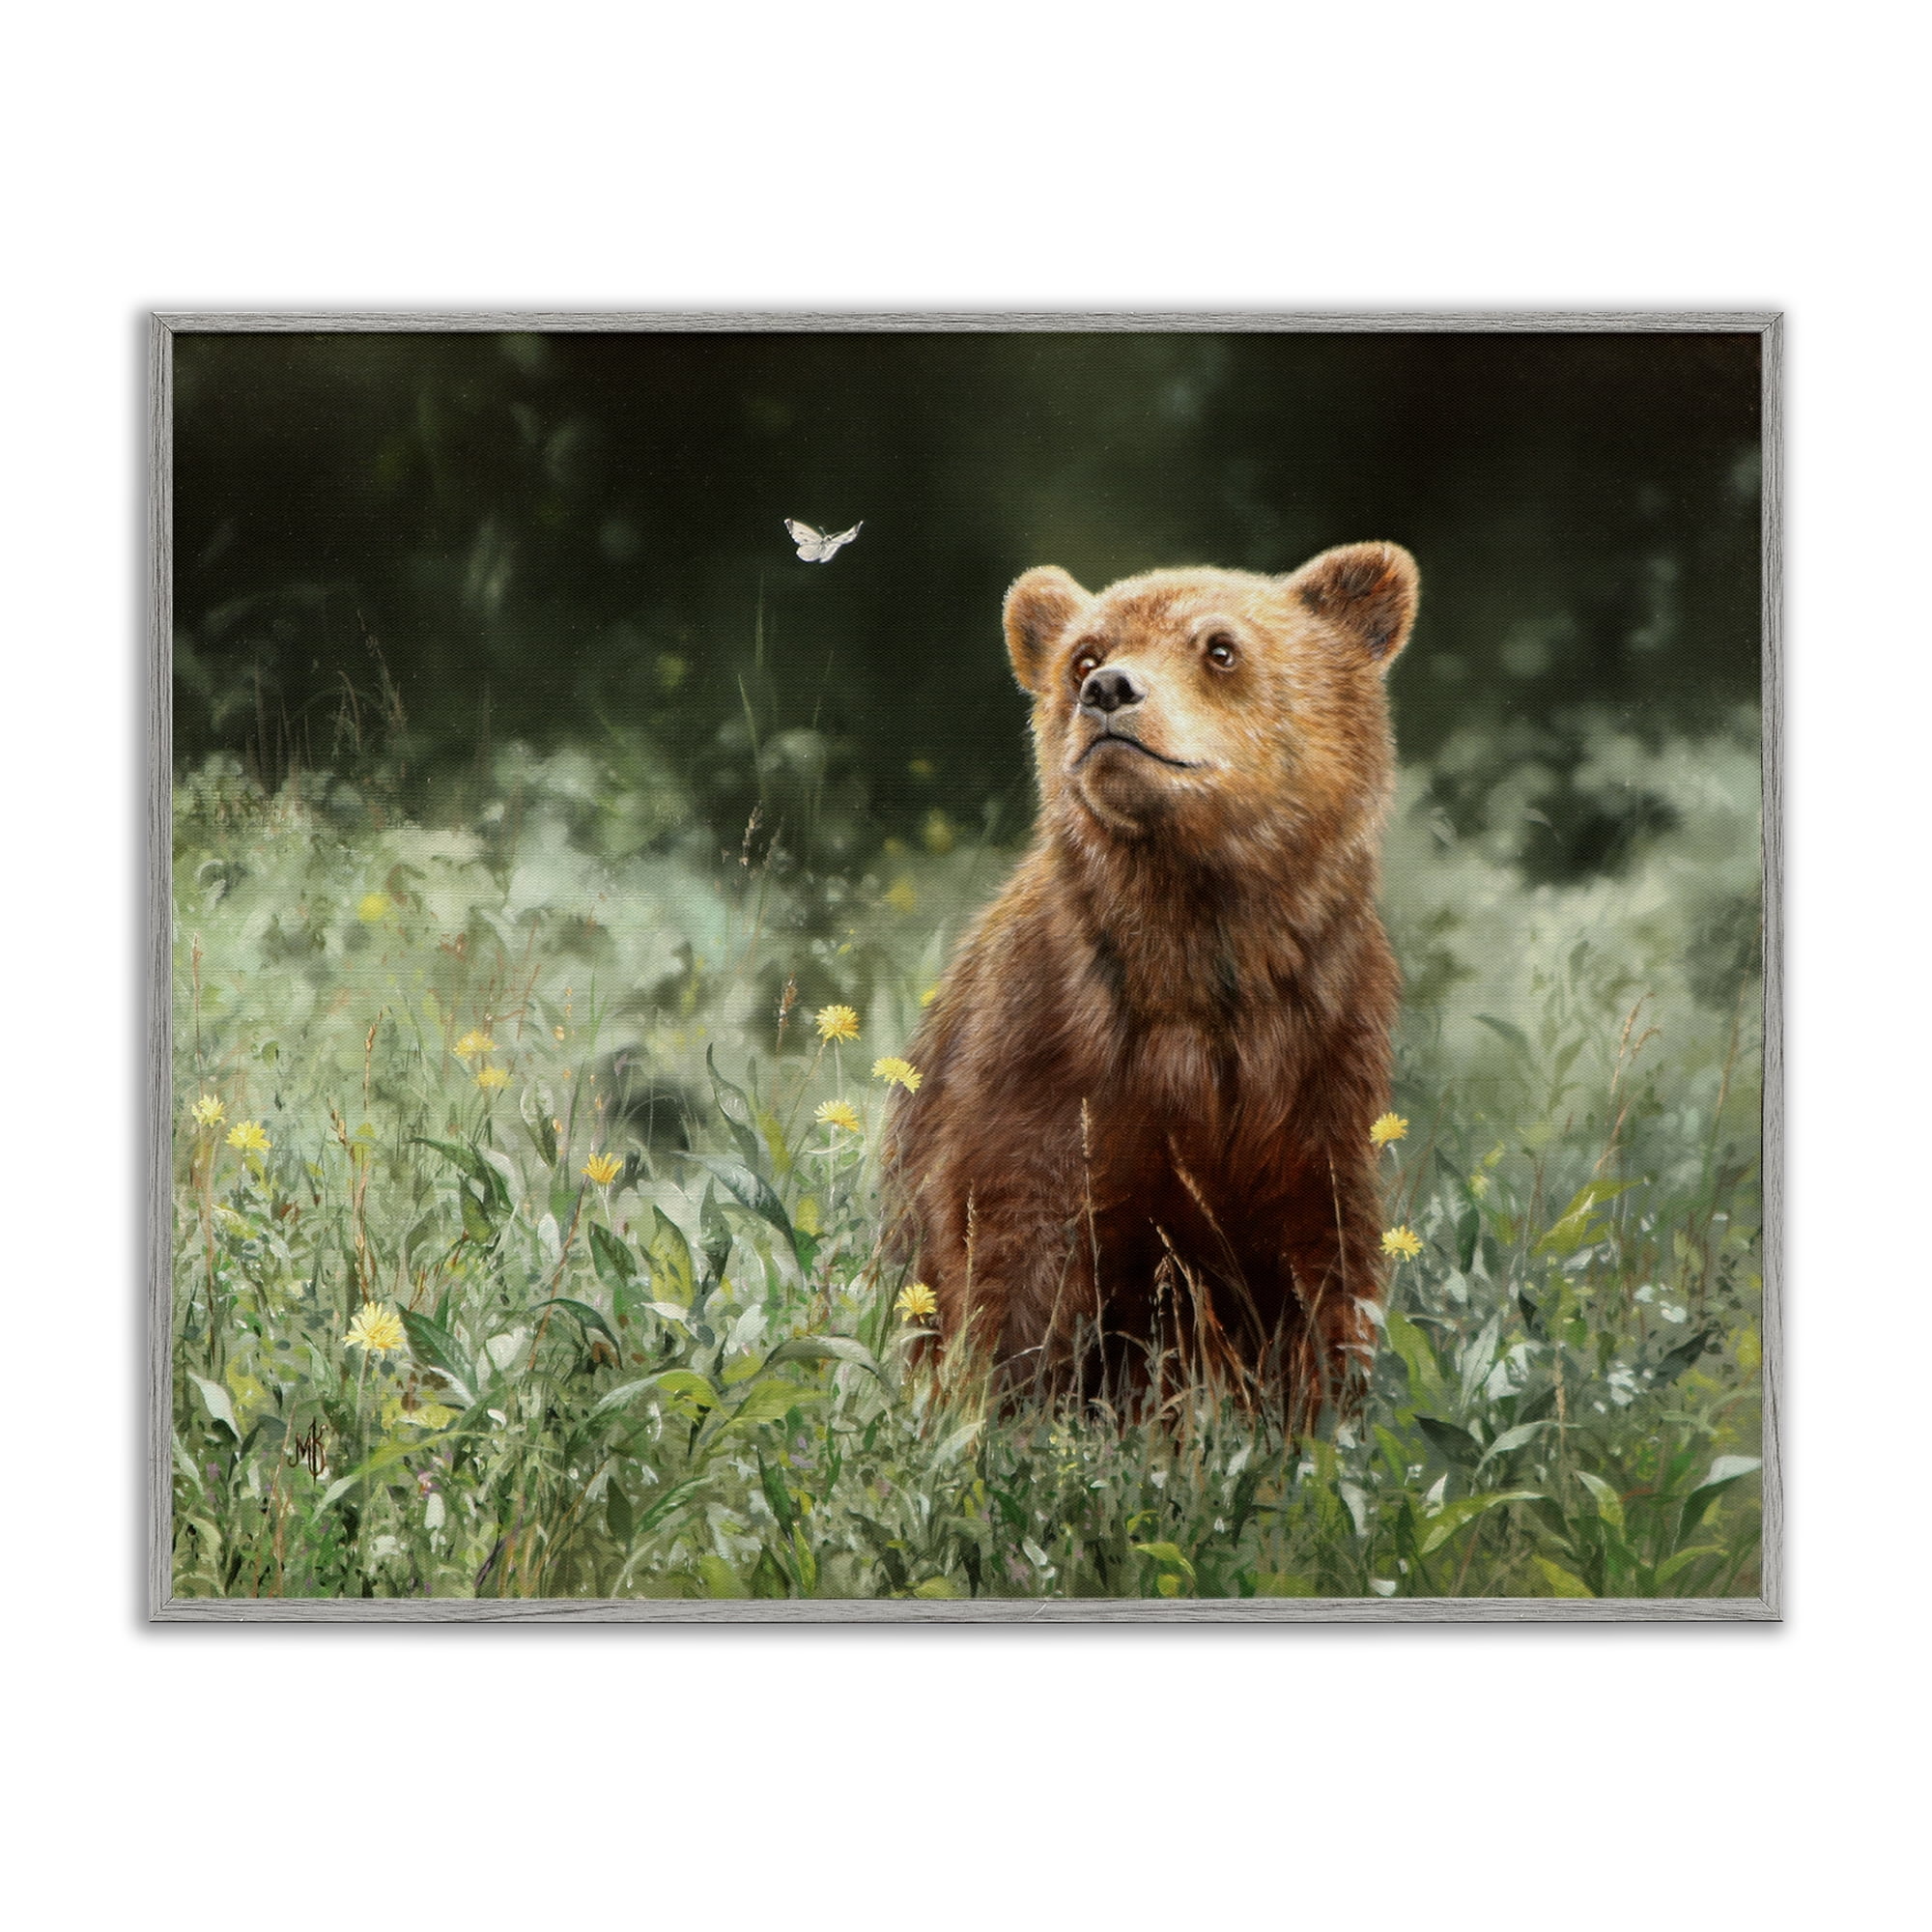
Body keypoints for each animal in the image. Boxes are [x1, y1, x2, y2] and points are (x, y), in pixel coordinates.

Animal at [880, 541, 1419, 1427]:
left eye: (1220, 647)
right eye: (1083, 653)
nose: (1108, 690)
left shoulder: (1318, 1061)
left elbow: (1320, 1266)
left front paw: (1313, 1416)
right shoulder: (1046, 1057)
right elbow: (1012, 1254)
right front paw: (1011, 1409)